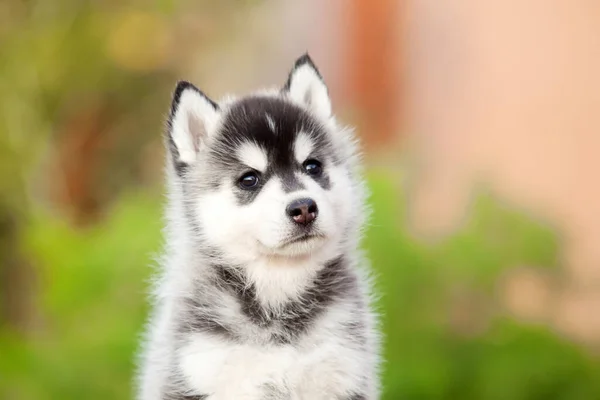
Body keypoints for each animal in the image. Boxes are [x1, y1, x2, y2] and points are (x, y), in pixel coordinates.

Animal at [136, 54, 380, 400]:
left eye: (312, 166)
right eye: (249, 178)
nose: (303, 208)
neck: (279, 284)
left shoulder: (344, 370)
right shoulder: (198, 369)